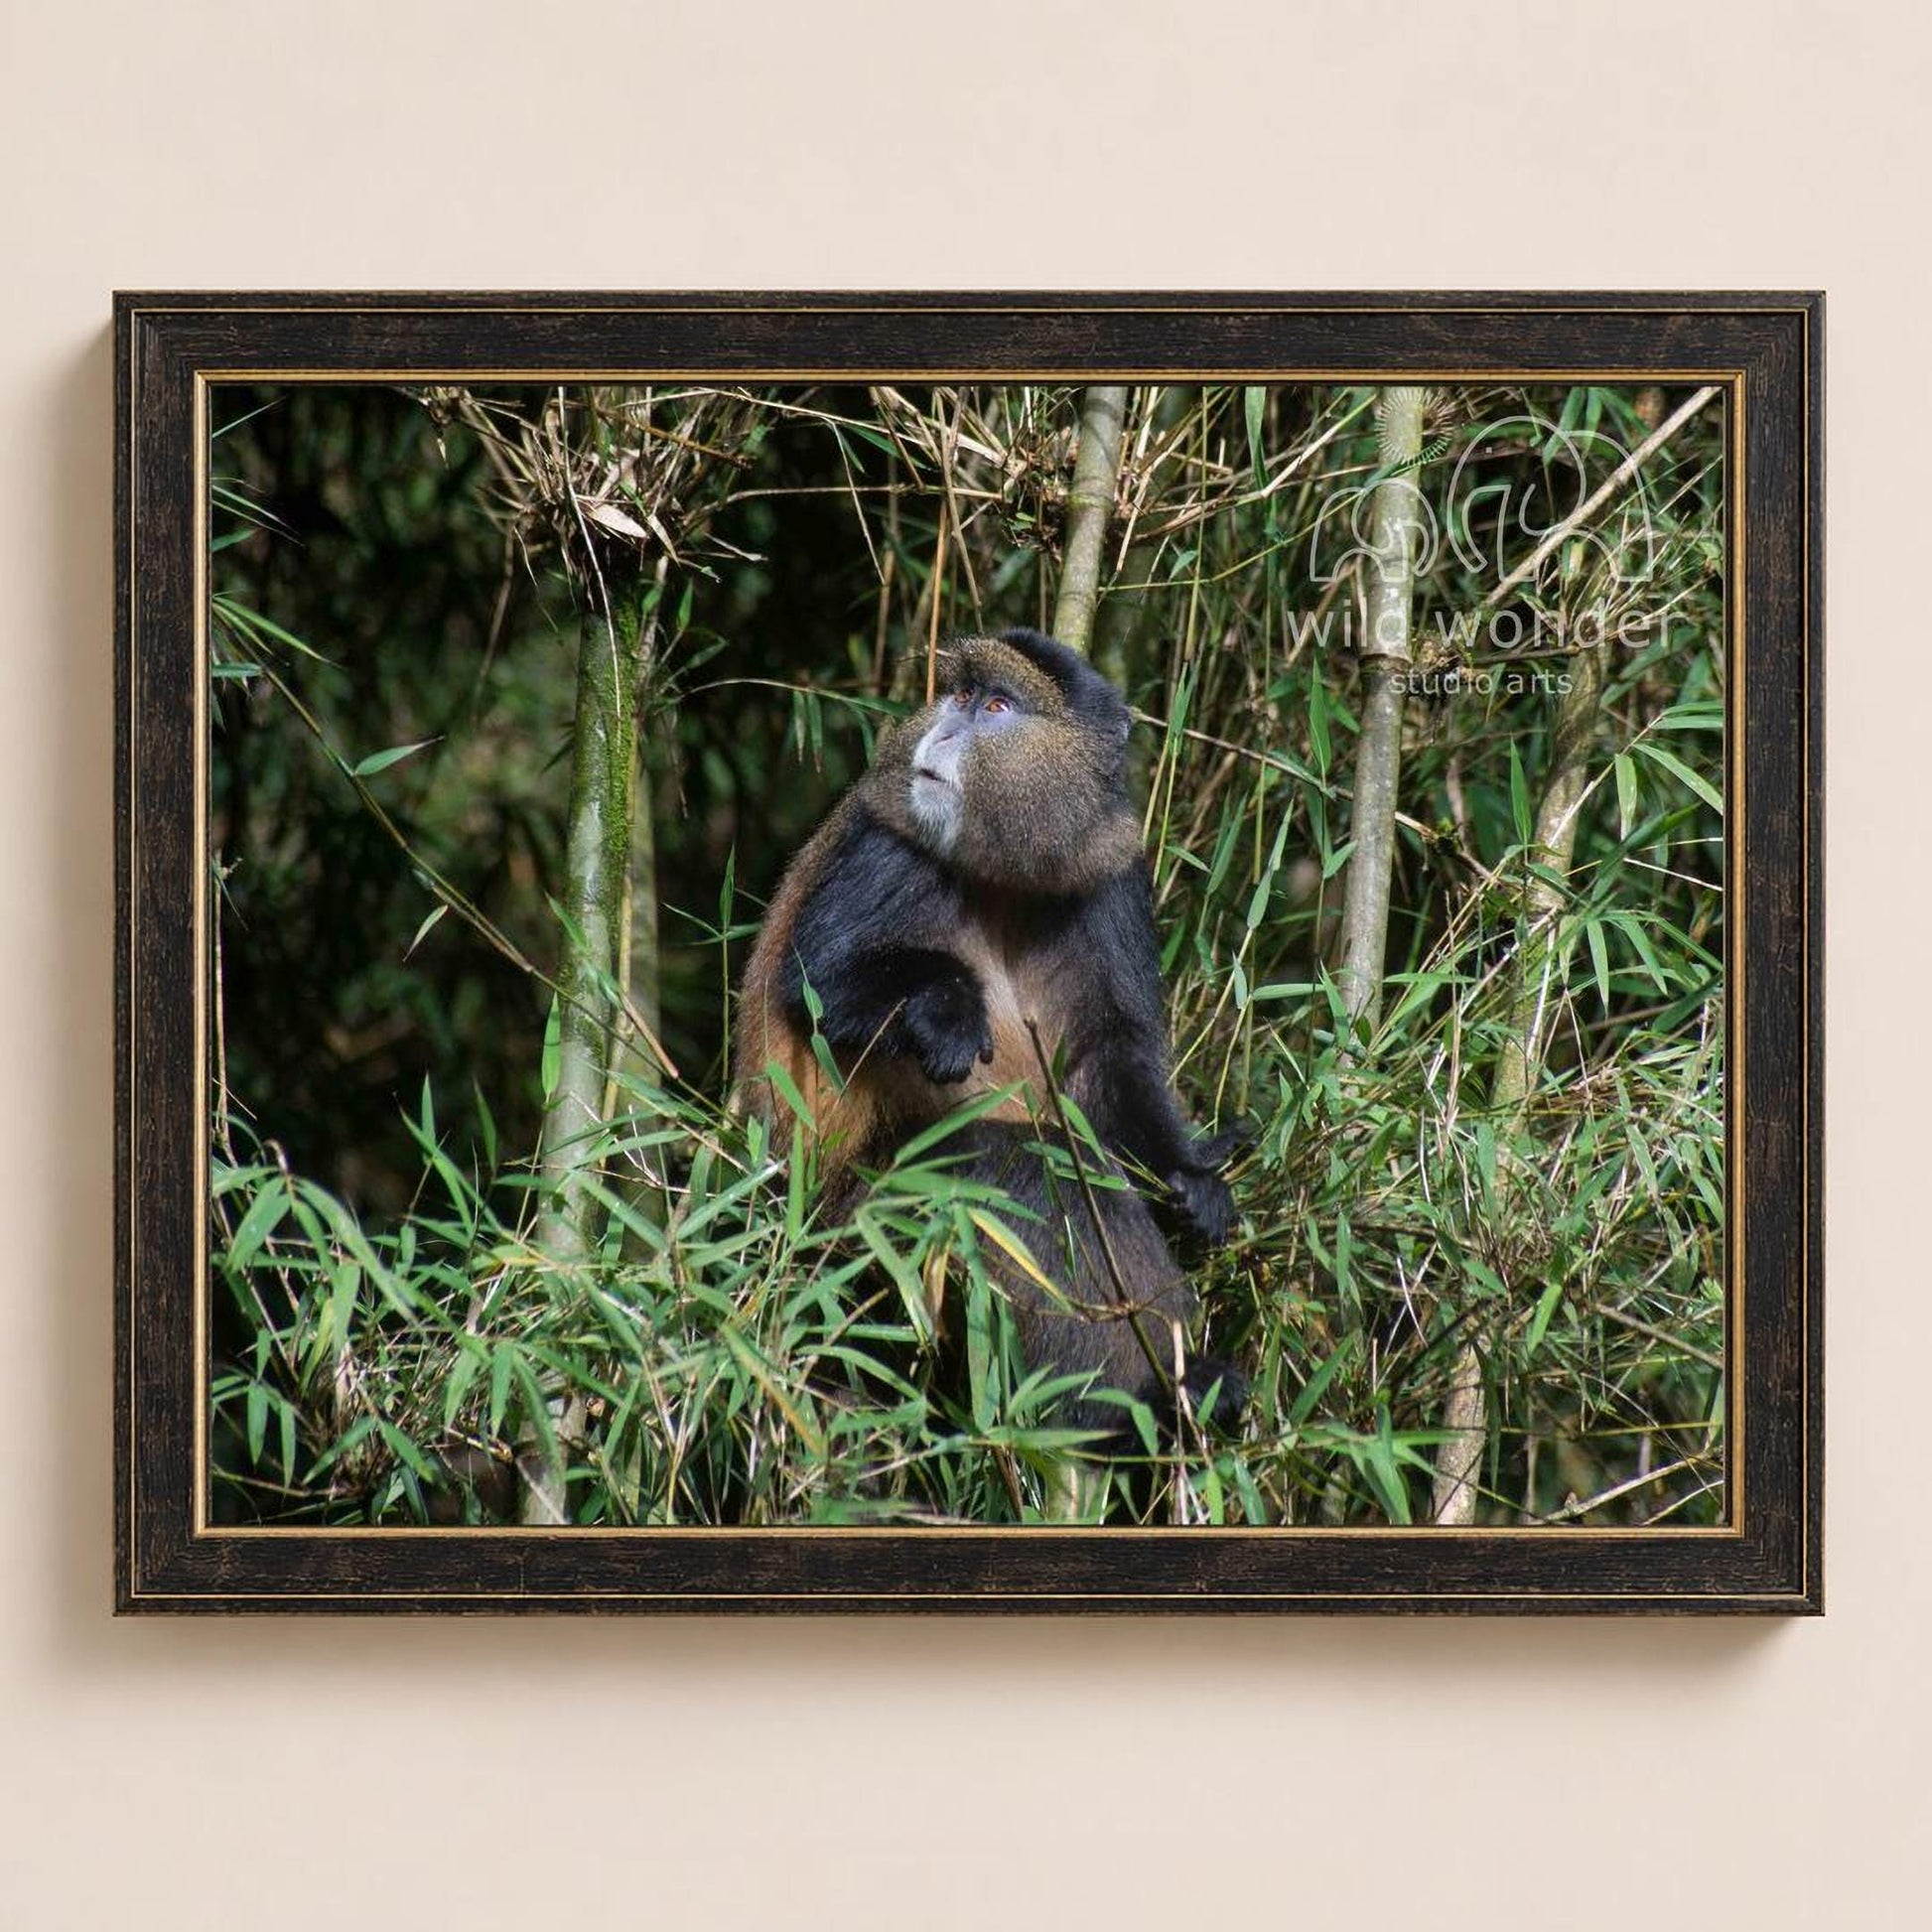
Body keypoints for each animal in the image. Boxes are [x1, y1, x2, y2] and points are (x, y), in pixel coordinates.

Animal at [734, 626, 1242, 1436]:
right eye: (962, 695)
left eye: (996, 707)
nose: (943, 729)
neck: (1006, 875)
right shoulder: (890, 844)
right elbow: (816, 981)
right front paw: (946, 1009)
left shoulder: (1112, 873)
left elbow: (1110, 1061)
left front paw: (1191, 1180)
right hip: (851, 1231)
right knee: (1012, 1162)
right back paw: (1137, 1403)